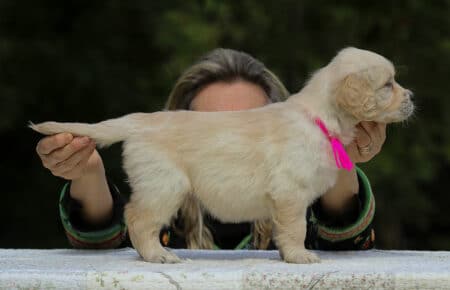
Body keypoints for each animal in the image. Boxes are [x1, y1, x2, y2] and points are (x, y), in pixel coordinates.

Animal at [29, 48, 414, 266]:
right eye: (388, 85)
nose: (412, 97)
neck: (319, 117)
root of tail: (140, 120)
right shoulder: (290, 193)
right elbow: (295, 228)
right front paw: (300, 256)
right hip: (164, 186)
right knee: (137, 219)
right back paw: (158, 256)